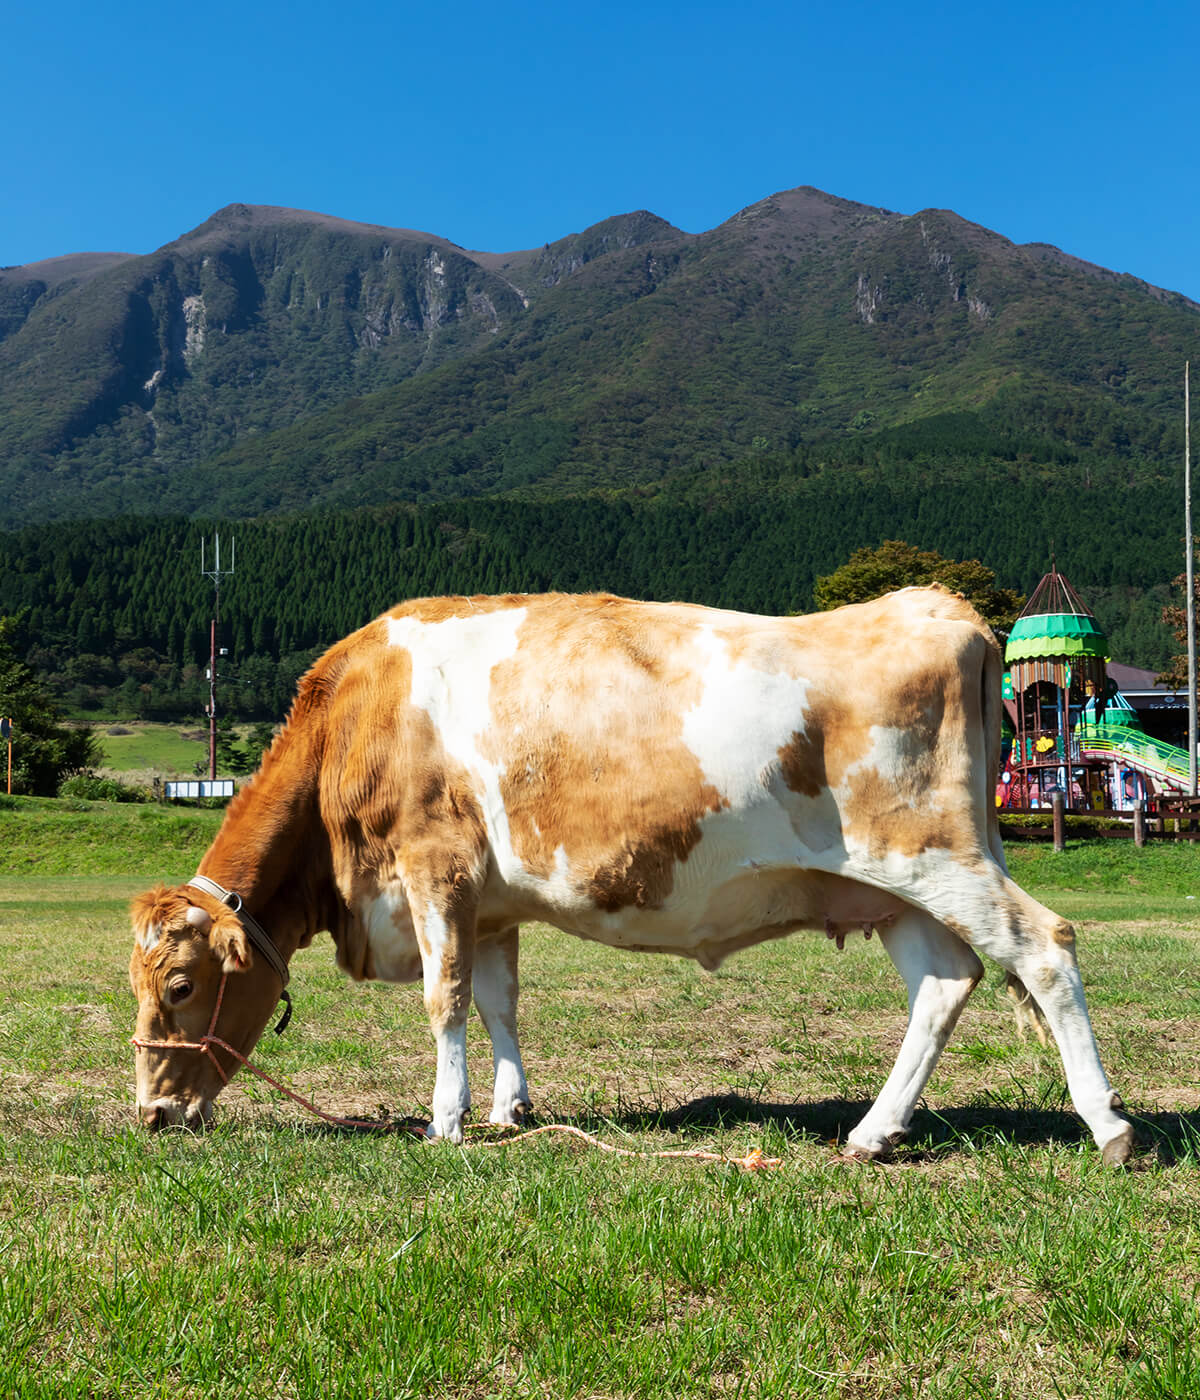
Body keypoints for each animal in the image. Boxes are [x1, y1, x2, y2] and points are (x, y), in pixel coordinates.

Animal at [130, 585, 1131, 1164]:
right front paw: (511, 1109)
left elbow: (444, 999)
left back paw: (1109, 1126)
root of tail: (934, 604)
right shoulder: (493, 903)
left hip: (934, 854)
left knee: (1044, 946)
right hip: (895, 886)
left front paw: (447, 1119)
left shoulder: (434, 865)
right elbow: (498, 1000)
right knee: (944, 982)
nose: (150, 1113)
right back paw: (871, 1133)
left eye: (179, 986)